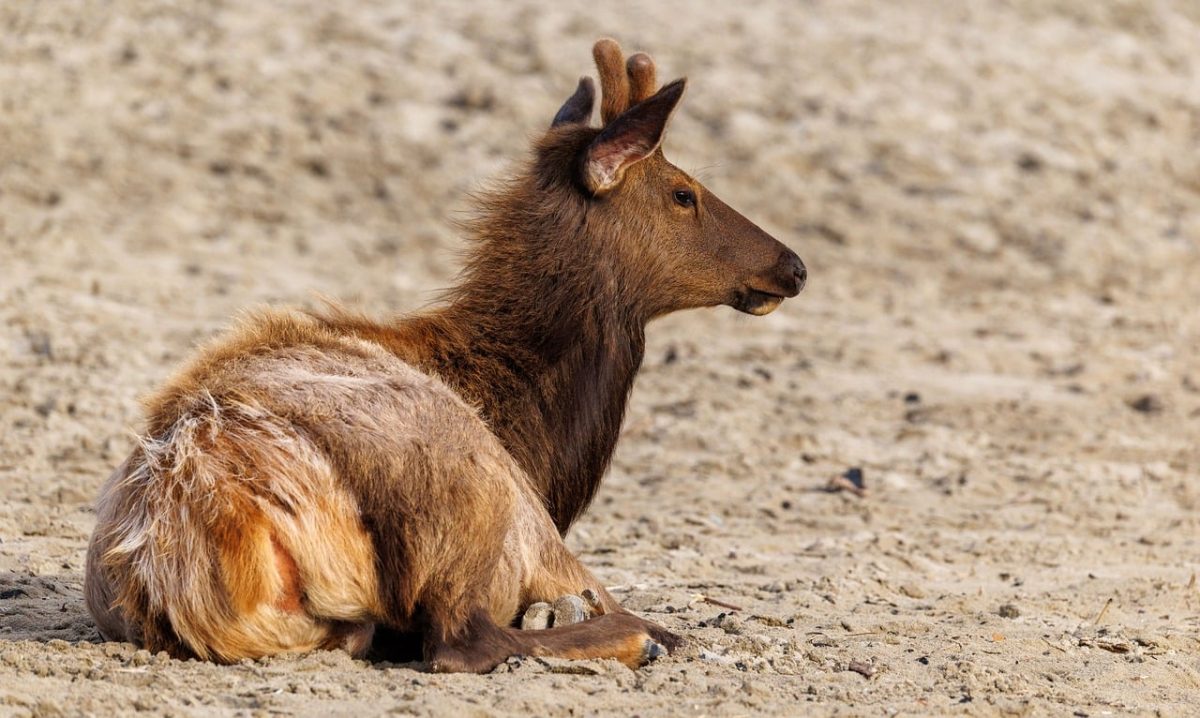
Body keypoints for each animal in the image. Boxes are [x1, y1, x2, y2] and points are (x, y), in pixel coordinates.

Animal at [83, 38, 806, 673]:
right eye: (684, 192)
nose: (793, 265)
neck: (537, 437)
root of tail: (231, 550)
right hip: (476, 494)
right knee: (469, 641)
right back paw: (636, 640)